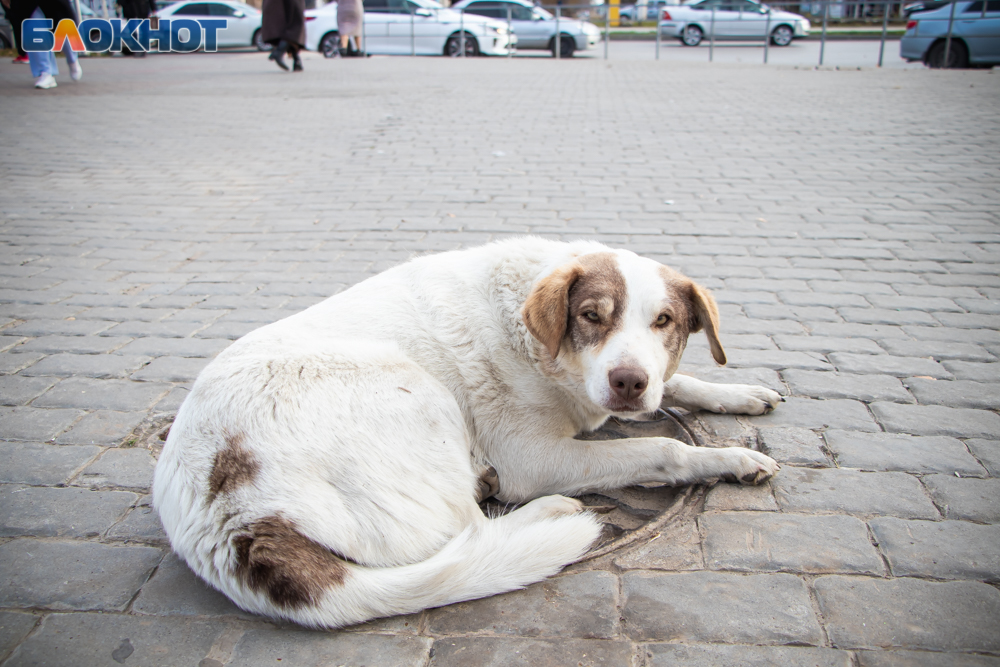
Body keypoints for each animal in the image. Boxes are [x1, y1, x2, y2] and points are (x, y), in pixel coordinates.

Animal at [154, 237, 780, 628]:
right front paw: (727, 459)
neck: (541, 348)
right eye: (592, 317)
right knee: (471, 529)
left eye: (664, 322)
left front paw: (739, 393)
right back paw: (547, 512)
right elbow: (661, 447)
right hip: (415, 389)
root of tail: (228, 523)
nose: (628, 382)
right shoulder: (533, 456)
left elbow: (679, 384)